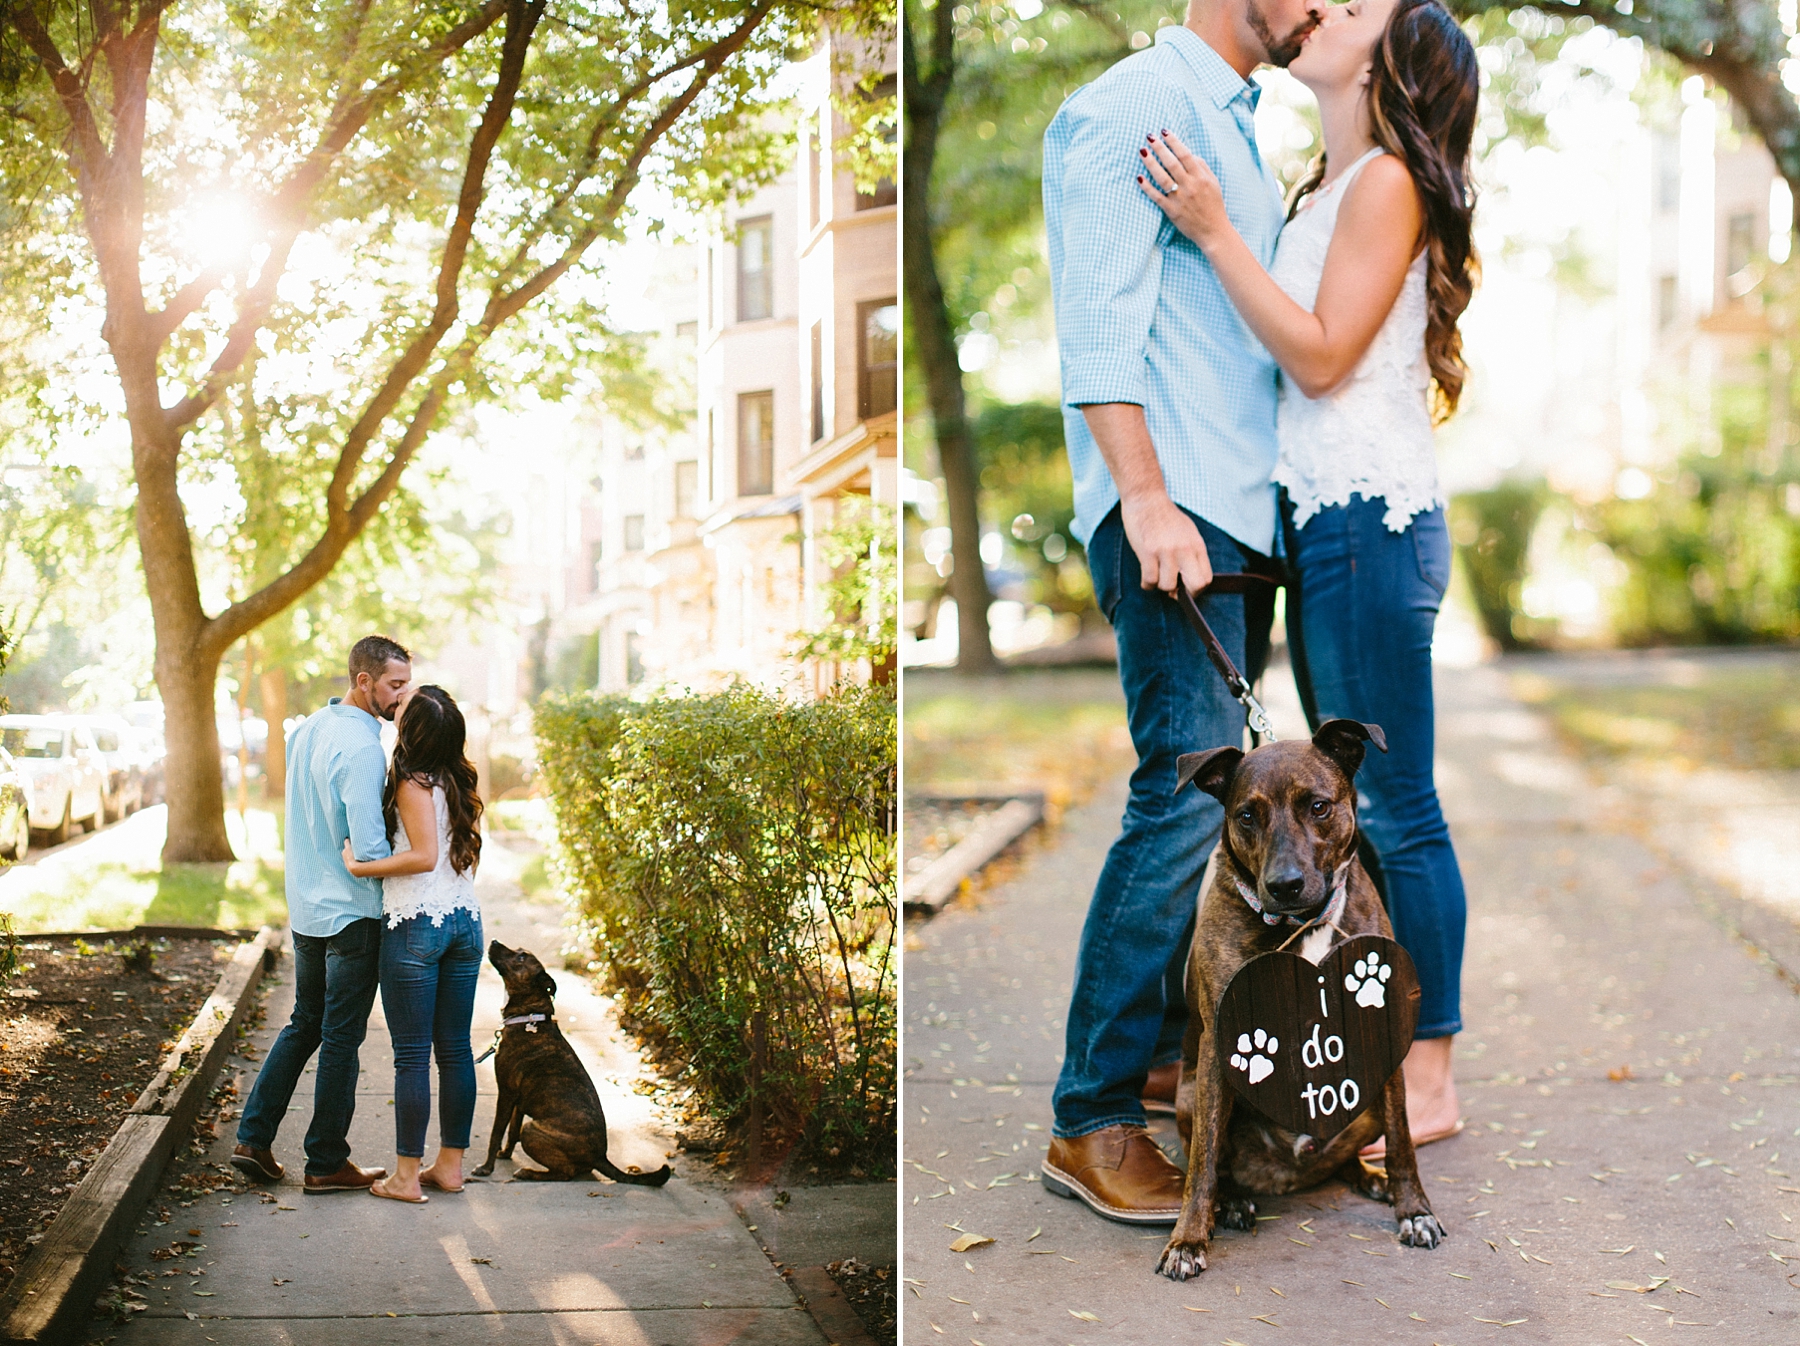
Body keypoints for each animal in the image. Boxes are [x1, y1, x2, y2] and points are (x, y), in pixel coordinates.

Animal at [471, 942, 676, 1180]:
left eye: (521, 958)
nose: (494, 941)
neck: (530, 1016)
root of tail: (600, 1157)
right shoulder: (518, 1102)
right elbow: (511, 1132)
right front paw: (505, 1154)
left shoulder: (506, 1093)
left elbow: (496, 1133)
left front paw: (486, 1168)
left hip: (531, 1130)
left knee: (565, 1173)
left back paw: (529, 1172)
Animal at [1152, 726, 1447, 1281]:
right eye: (1247, 814)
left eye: (1319, 806)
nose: (1284, 885)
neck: (1302, 923)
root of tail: (1290, 1172)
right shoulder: (1216, 1049)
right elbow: (1201, 1164)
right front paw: (1187, 1239)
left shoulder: (1385, 1034)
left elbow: (1403, 1142)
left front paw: (1414, 1211)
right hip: (1189, 1095)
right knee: (1216, 1158)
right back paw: (1233, 1201)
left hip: (1366, 1100)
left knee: (1352, 1151)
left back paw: (1369, 1176)